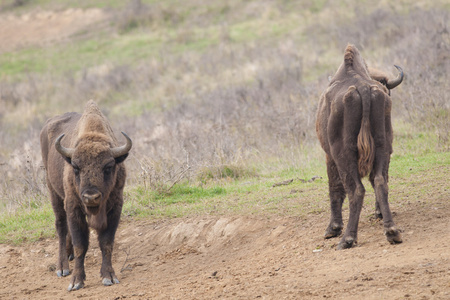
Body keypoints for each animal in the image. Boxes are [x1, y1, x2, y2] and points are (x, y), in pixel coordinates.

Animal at [39, 101, 132, 290]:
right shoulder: (74, 208)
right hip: (54, 193)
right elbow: (81, 244)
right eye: (75, 167)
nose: (91, 197)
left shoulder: (115, 208)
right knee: (61, 226)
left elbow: (106, 242)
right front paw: (76, 281)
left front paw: (109, 276)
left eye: (108, 167)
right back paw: (62, 267)